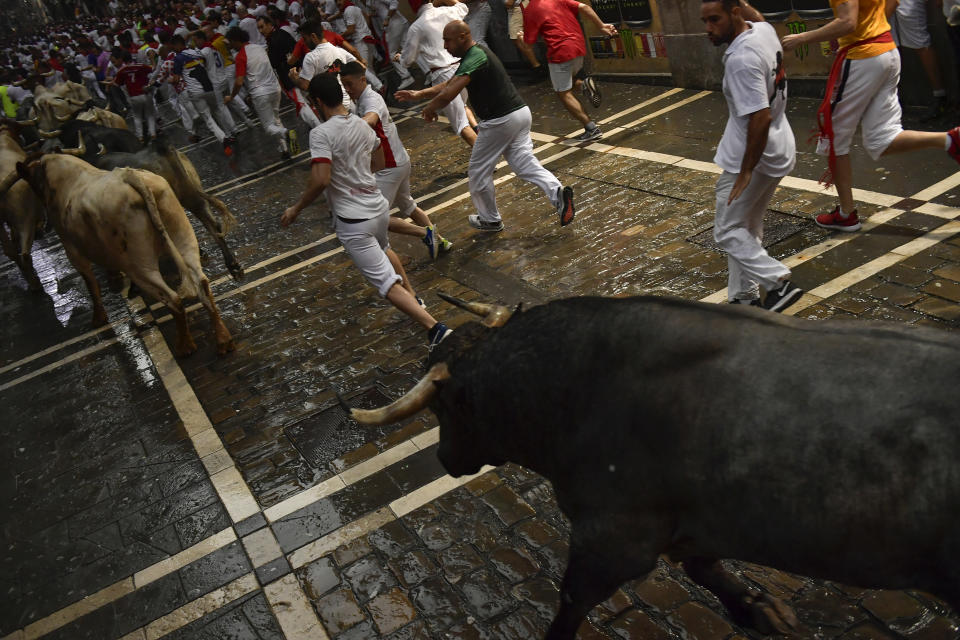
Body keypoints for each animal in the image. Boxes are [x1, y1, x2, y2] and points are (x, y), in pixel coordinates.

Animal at [2, 153, 235, 358]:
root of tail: (131, 178)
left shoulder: (73, 250)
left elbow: (91, 284)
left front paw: (99, 317)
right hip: (183, 238)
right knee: (202, 283)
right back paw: (223, 340)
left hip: (138, 264)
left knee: (173, 298)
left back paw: (185, 346)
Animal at [344, 296, 960, 640]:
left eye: (445, 409)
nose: (444, 458)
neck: (571, 390)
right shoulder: (687, 524)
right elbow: (704, 568)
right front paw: (758, 609)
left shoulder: (613, 540)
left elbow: (570, 603)